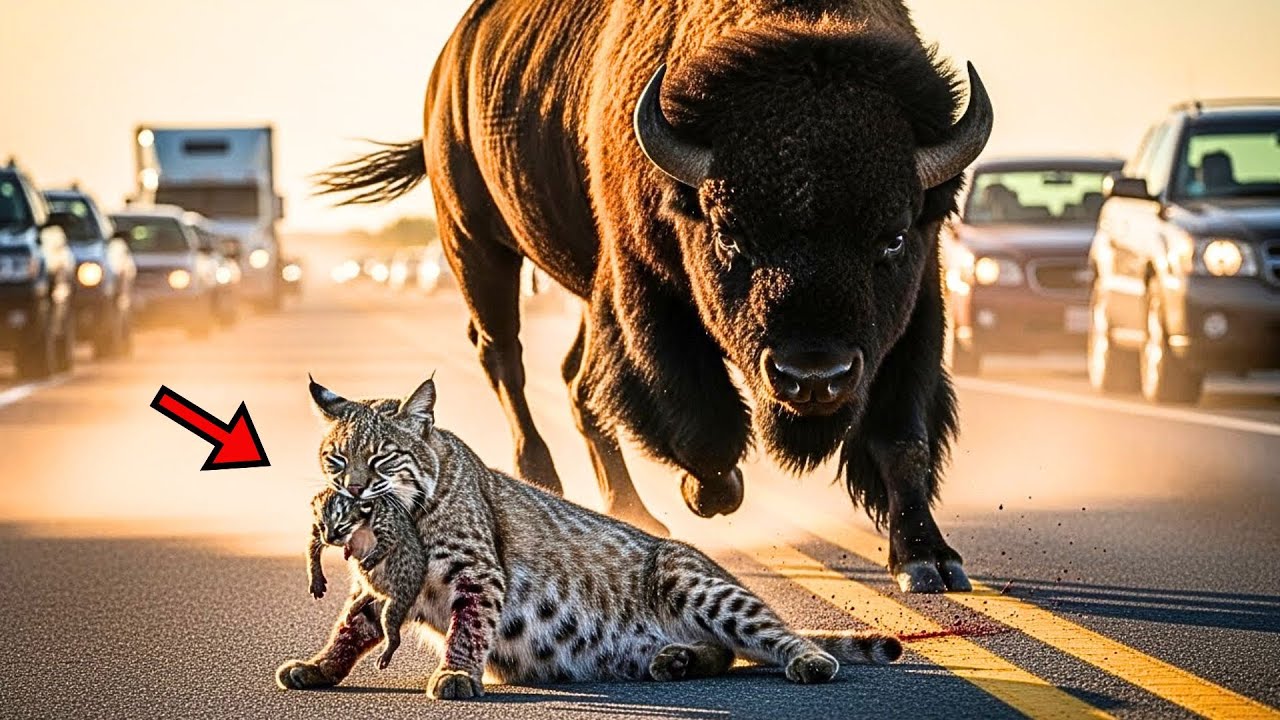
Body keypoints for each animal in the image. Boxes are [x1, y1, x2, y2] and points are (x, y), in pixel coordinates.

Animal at [318, 0, 993, 593]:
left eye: (894, 235)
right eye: (728, 234)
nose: (813, 375)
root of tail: (446, 69)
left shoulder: (919, 307)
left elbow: (901, 436)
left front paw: (928, 560)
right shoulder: (644, 289)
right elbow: (699, 424)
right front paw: (713, 493)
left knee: (577, 382)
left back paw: (631, 510)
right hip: (476, 245)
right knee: (505, 358)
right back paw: (546, 480)